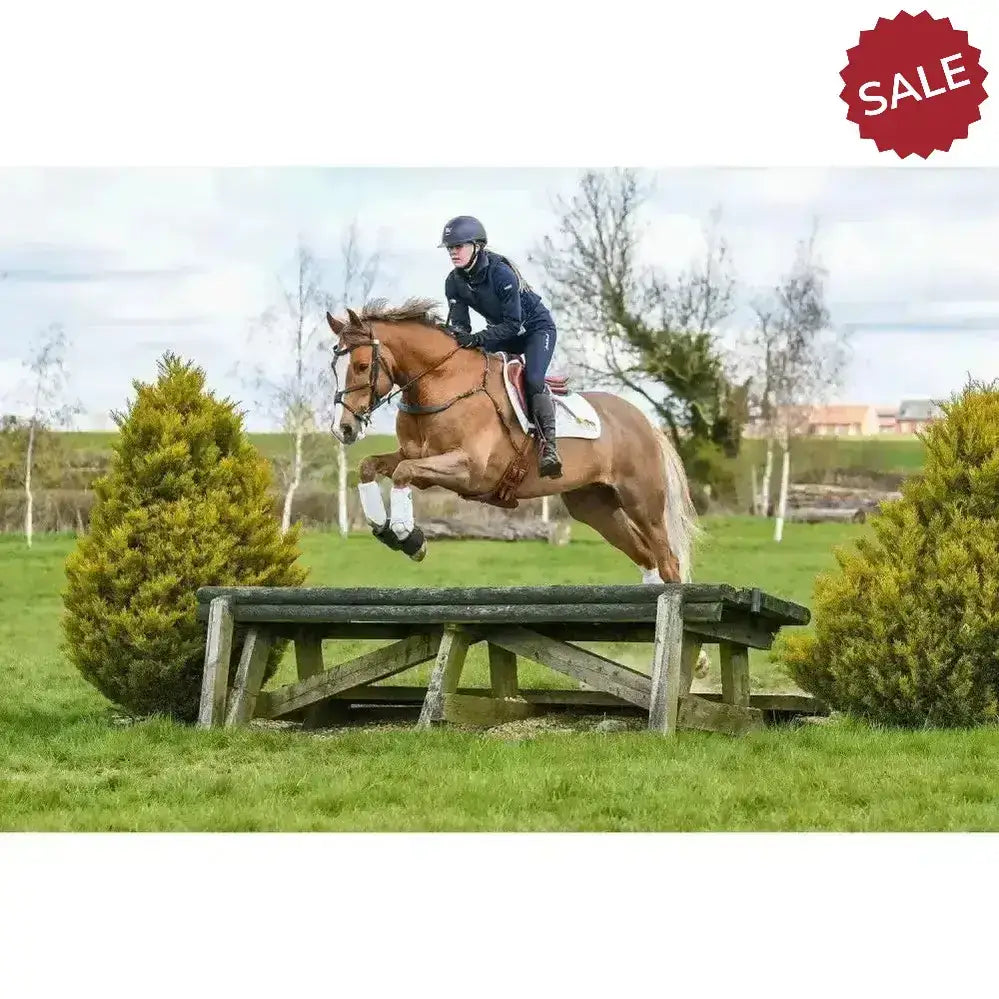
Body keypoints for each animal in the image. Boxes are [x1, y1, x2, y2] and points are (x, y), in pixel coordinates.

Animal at [326, 297, 703, 591]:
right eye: (334, 367)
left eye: (361, 365)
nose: (343, 428)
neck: (442, 384)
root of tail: (646, 422)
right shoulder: (417, 456)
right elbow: (370, 466)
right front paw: (383, 527)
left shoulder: (469, 470)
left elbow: (404, 472)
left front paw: (408, 536)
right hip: (594, 505)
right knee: (647, 557)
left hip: (641, 500)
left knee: (668, 561)